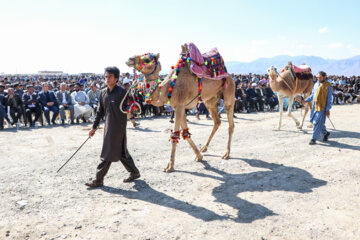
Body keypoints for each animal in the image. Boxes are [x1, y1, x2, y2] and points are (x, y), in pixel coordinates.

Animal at [125, 43, 235, 172]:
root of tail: (229, 75)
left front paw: (170, 166)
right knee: (217, 121)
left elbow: (175, 134)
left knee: (230, 122)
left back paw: (226, 153)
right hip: (210, 101)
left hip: (229, 90)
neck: (168, 87)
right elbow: (186, 133)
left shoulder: (179, 106)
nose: (129, 59)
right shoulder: (179, 107)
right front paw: (199, 156)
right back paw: (204, 148)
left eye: (147, 59)